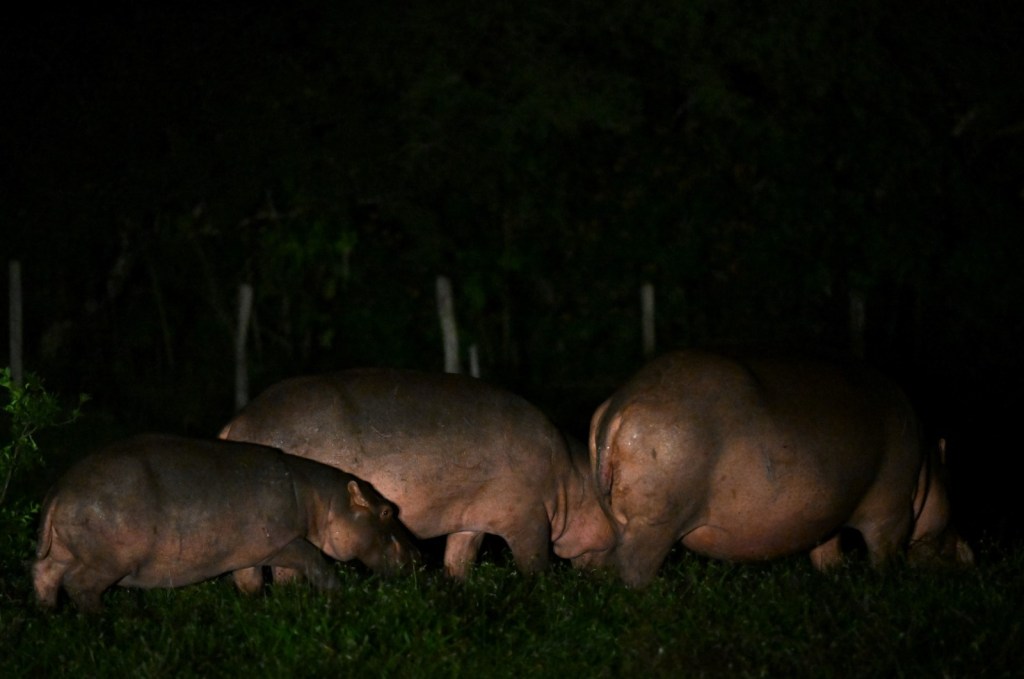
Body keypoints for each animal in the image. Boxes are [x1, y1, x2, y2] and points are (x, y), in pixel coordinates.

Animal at [33, 436, 415, 614]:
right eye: (387, 511)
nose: (418, 558)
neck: (322, 500)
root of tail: (59, 491)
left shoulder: (247, 554)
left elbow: (249, 582)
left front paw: (254, 607)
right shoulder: (283, 543)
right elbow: (314, 560)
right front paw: (337, 597)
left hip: (62, 549)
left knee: (44, 574)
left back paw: (48, 616)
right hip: (109, 559)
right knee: (79, 584)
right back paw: (106, 619)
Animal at [219, 368, 610, 577]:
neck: (574, 478)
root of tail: (237, 420)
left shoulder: (472, 519)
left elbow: (459, 556)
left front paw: (456, 586)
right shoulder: (528, 519)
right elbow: (533, 562)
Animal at [589, 352, 970, 585]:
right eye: (956, 493)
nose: (970, 559)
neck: (928, 468)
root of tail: (621, 405)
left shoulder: (826, 517)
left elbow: (826, 552)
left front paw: (836, 578)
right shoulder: (892, 512)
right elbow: (884, 554)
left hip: (624, 520)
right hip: (654, 525)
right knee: (634, 570)